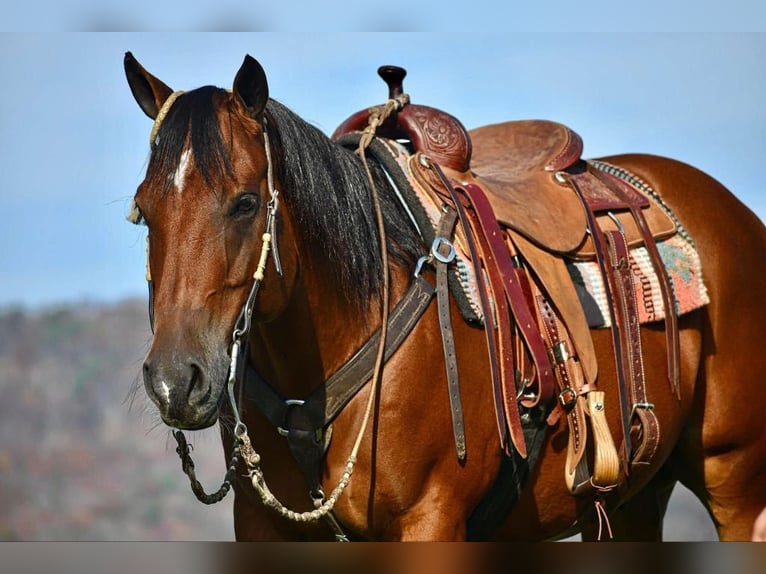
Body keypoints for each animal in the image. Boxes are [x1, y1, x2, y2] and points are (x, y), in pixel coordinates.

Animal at [123, 51, 766, 544]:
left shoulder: (429, 522)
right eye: (144, 211)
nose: (175, 380)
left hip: (736, 481)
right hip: (634, 498)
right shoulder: (263, 528)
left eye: (246, 203)